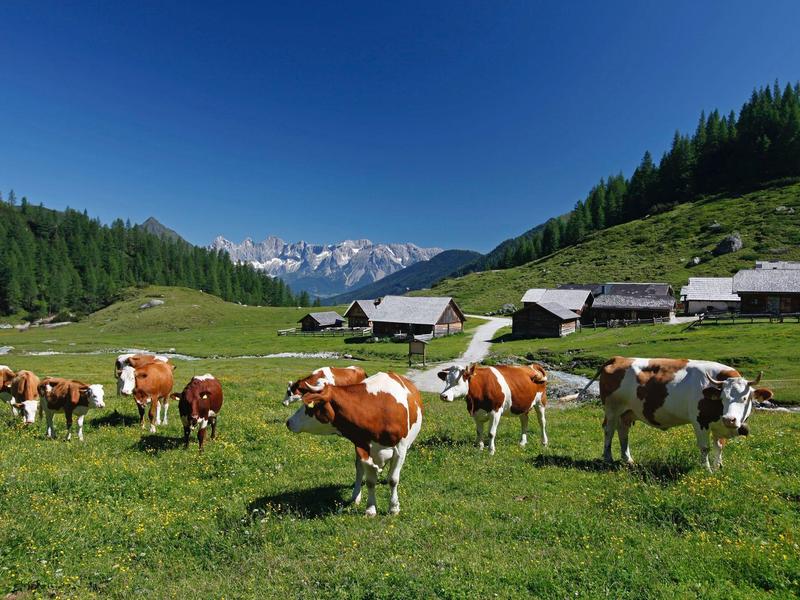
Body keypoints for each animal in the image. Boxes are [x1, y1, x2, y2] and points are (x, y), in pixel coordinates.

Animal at [286, 372, 423, 516]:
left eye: (308, 406)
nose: (288, 422)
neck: (376, 410)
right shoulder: (362, 447)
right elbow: (370, 481)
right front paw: (370, 509)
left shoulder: (401, 449)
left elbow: (393, 479)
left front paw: (393, 508)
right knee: (359, 470)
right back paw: (355, 496)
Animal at [586, 356, 774, 472]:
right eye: (722, 398)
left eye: (745, 398)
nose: (729, 419)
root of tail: (619, 358)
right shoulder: (700, 421)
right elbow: (705, 447)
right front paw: (707, 469)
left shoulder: (718, 425)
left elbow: (719, 446)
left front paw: (719, 466)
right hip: (612, 409)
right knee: (609, 430)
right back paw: (608, 458)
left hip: (627, 412)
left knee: (623, 432)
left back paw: (628, 460)